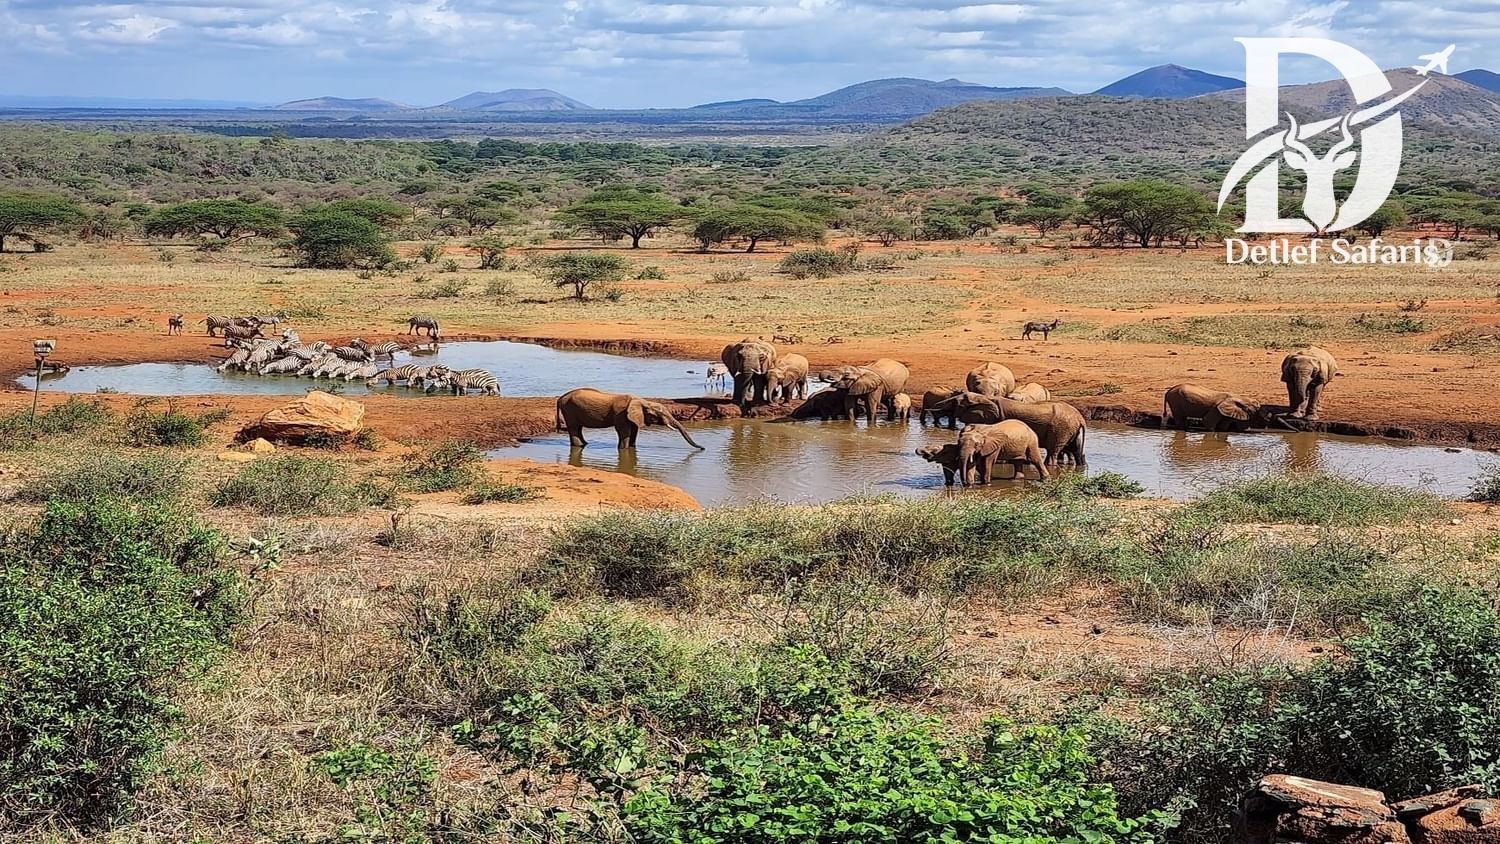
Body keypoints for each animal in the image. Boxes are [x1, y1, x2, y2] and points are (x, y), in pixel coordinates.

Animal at [555, 388, 705, 450]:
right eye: (659, 414)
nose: (703, 448)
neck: (641, 401)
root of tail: (561, 398)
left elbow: (634, 431)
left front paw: (632, 448)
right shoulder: (620, 414)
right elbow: (625, 432)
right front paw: (624, 450)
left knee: (578, 428)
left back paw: (585, 444)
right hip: (569, 409)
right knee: (574, 427)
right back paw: (580, 446)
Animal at [926, 392, 1087, 466]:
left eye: (956, 403)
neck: (987, 398)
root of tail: (1080, 419)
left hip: (1060, 430)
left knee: (1053, 452)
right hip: (1069, 431)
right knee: (1076, 452)